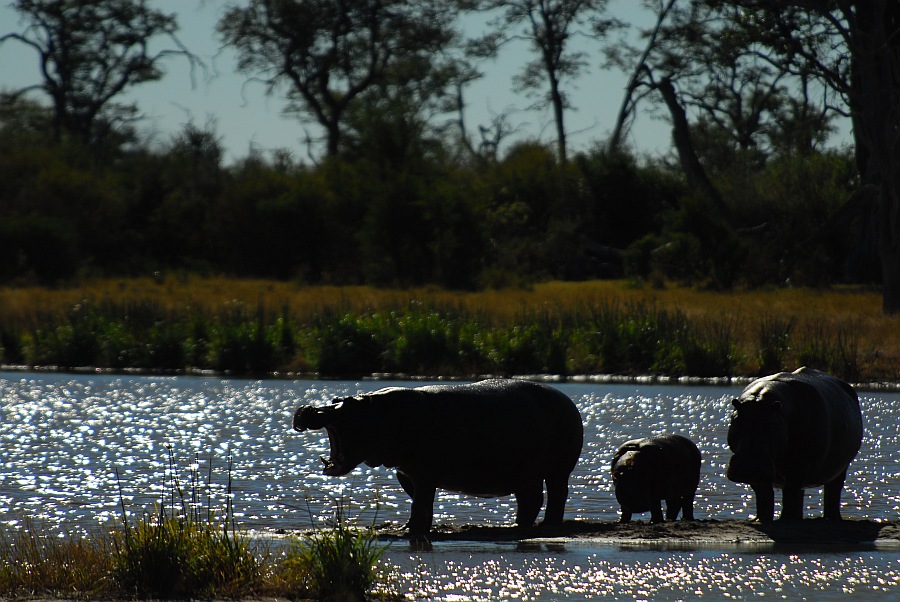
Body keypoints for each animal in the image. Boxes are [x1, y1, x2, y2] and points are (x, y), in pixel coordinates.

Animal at [292, 379, 584, 537]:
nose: (308, 408)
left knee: (557, 496)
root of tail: (568, 400)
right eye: (335, 398)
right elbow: (420, 503)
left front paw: (410, 529)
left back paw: (547, 525)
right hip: (525, 473)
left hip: (558, 471)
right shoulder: (407, 473)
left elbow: (420, 503)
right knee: (531, 500)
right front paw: (412, 527)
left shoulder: (424, 474)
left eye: (349, 404)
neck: (381, 414)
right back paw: (515, 527)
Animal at [726, 367, 863, 521]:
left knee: (832, 492)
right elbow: (764, 495)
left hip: (839, 468)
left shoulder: (800, 464)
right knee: (799, 493)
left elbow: (790, 492)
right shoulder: (759, 475)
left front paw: (785, 519)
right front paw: (761, 519)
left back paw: (831, 518)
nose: (747, 465)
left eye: (771, 424)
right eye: (736, 420)